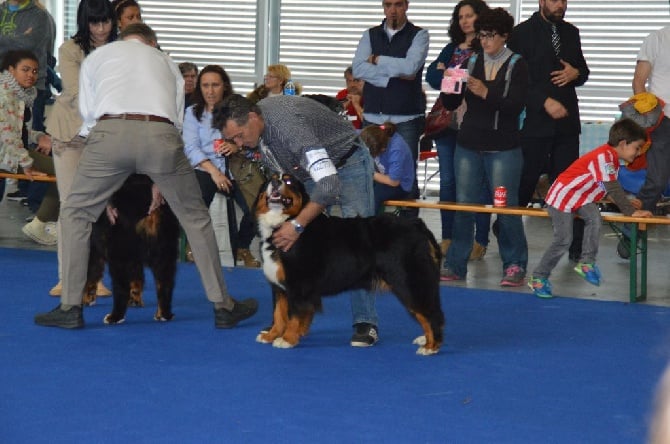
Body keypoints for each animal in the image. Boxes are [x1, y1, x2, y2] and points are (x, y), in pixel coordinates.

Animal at [85, 174, 182, 326]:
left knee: (121, 288)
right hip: (164, 250)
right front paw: (135, 299)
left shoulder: (94, 248)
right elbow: (137, 278)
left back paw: (115, 316)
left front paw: (85, 299)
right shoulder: (134, 257)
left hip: (118, 253)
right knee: (165, 283)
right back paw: (163, 314)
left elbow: (90, 276)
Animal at [256, 173, 446, 354]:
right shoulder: (279, 287)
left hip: (407, 281)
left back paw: (431, 346)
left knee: (431, 314)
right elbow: (279, 314)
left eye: (289, 182)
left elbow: (294, 315)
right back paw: (425, 339)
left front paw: (287, 339)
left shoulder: (298, 285)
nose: (276, 182)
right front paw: (271, 335)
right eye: (271, 179)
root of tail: (417, 225)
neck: (283, 221)